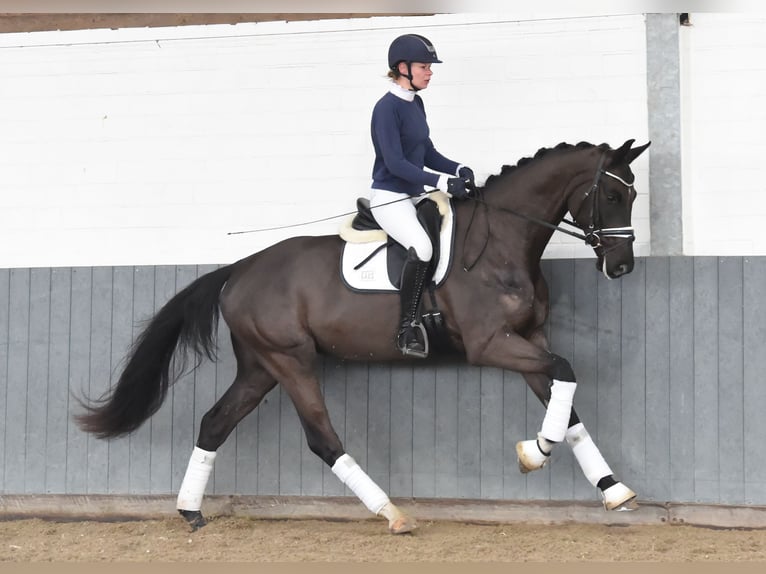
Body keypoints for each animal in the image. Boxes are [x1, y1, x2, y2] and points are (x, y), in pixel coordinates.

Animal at [75, 140, 656, 536]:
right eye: (610, 193)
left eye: (632, 193)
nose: (623, 266)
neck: (502, 244)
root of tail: (239, 270)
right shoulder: (491, 343)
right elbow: (566, 373)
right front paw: (535, 452)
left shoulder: (530, 337)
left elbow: (567, 400)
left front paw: (611, 488)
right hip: (290, 361)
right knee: (321, 438)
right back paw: (392, 513)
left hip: (260, 366)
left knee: (215, 423)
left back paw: (190, 511)